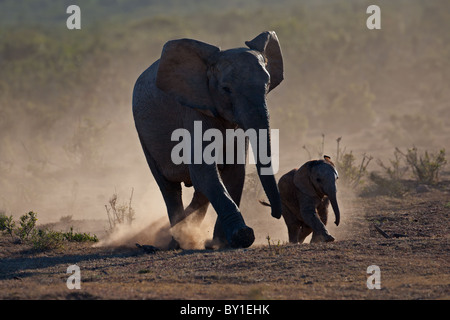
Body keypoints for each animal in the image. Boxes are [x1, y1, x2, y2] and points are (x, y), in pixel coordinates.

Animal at [132, 31, 284, 249]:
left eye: (268, 86)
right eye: (226, 89)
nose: (271, 211)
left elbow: (234, 172)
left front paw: (222, 242)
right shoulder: (193, 110)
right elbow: (204, 170)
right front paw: (242, 236)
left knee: (200, 189)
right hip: (144, 136)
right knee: (169, 188)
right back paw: (176, 241)